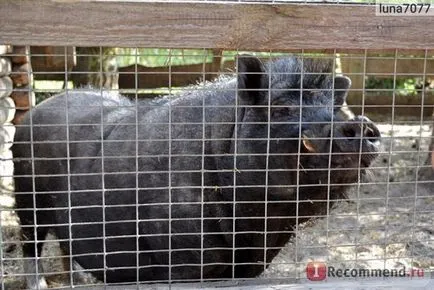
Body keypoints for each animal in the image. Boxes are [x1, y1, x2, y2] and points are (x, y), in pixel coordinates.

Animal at [12, 55, 380, 288]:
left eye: (334, 107)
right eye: (282, 109)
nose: (360, 125)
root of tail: (36, 111)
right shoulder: (182, 254)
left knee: (64, 242)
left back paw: (81, 281)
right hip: (26, 191)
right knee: (30, 241)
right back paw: (40, 284)